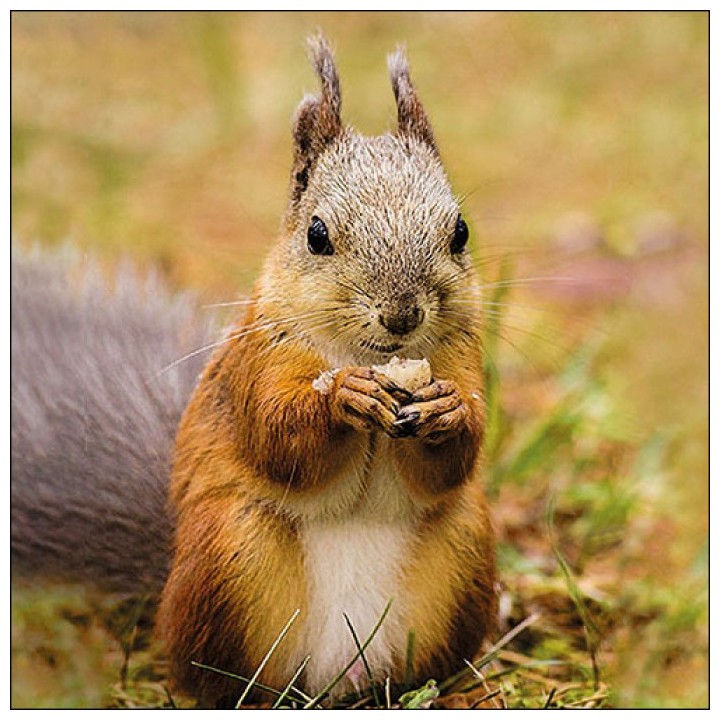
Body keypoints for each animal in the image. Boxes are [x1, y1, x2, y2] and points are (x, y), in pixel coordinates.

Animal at [12, 36, 497, 709]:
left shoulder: (461, 356)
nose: (402, 315)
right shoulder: (259, 360)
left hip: (464, 548)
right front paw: (340, 397)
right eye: (317, 235)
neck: (372, 354)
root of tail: (337, 677)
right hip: (230, 552)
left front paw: (447, 411)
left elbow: (455, 460)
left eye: (461, 231)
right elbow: (276, 439)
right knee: (214, 676)